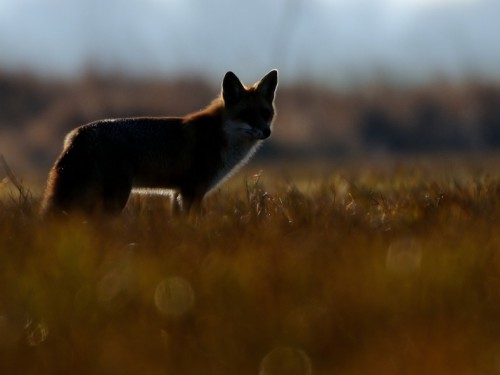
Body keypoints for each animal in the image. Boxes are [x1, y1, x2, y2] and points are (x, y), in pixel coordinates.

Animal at [40, 71, 278, 217]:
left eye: (266, 114)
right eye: (246, 114)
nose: (266, 132)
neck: (220, 136)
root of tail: (78, 133)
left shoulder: (178, 193)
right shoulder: (193, 191)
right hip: (114, 198)